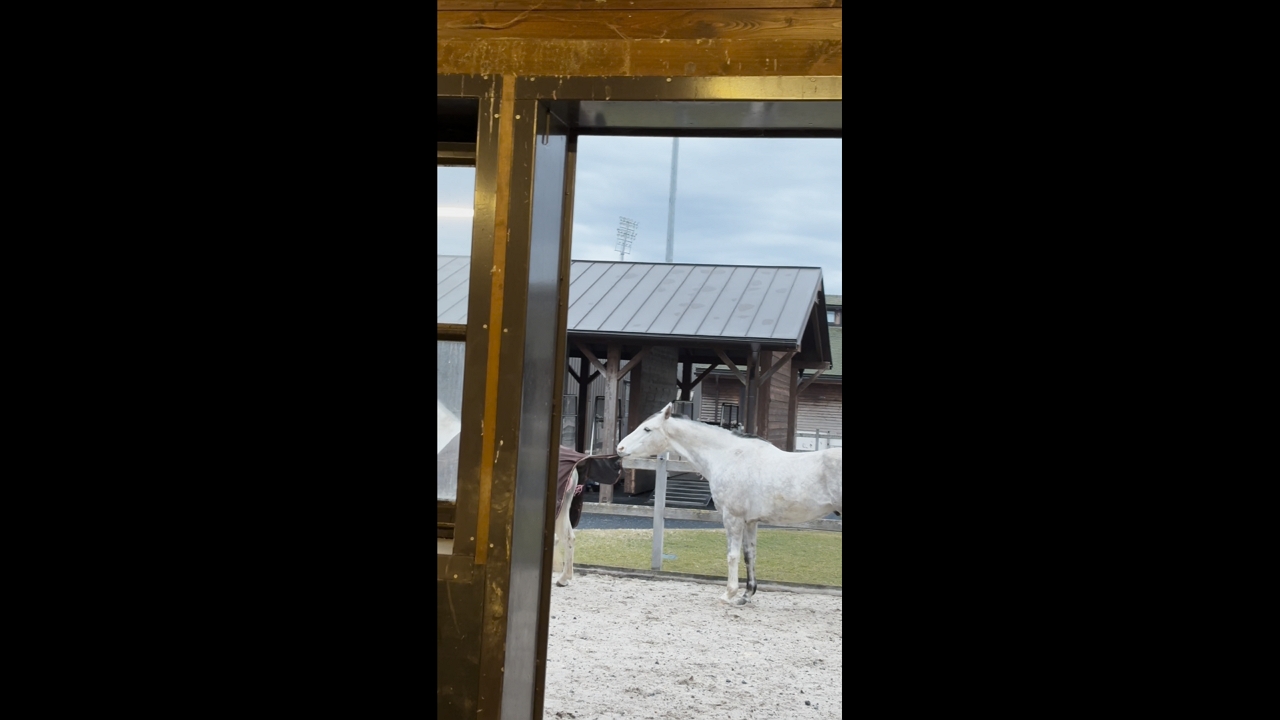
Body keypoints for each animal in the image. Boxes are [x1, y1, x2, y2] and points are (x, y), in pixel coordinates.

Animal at [616, 402, 841, 605]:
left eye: (647, 428)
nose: (620, 448)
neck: (730, 457)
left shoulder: (733, 518)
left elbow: (732, 555)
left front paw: (729, 594)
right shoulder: (750, 522)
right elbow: (749, 555)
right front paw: (746, 595)